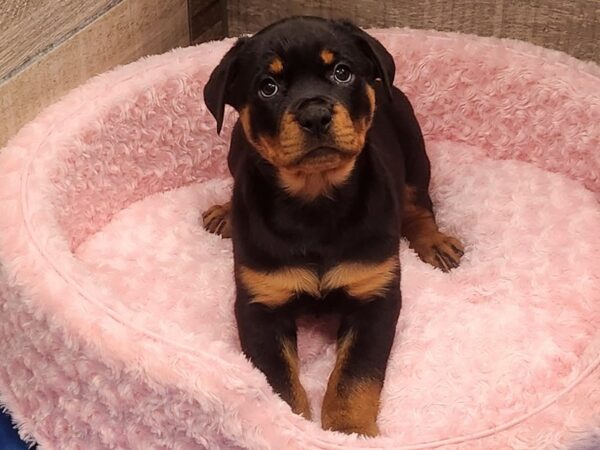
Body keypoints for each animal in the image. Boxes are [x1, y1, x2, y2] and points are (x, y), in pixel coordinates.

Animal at [202, 16, 464, 436]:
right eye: (268, 86)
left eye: (342, 72)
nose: (314, 115)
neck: (314, 203)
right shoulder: (260, 302)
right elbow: (277, 382)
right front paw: (289, 425)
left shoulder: (375, 295)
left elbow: (355, 377)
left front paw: (348, 430)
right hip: (234, 150)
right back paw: (225, 212)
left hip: (414, 152)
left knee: (418, 206)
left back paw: (435, 242)